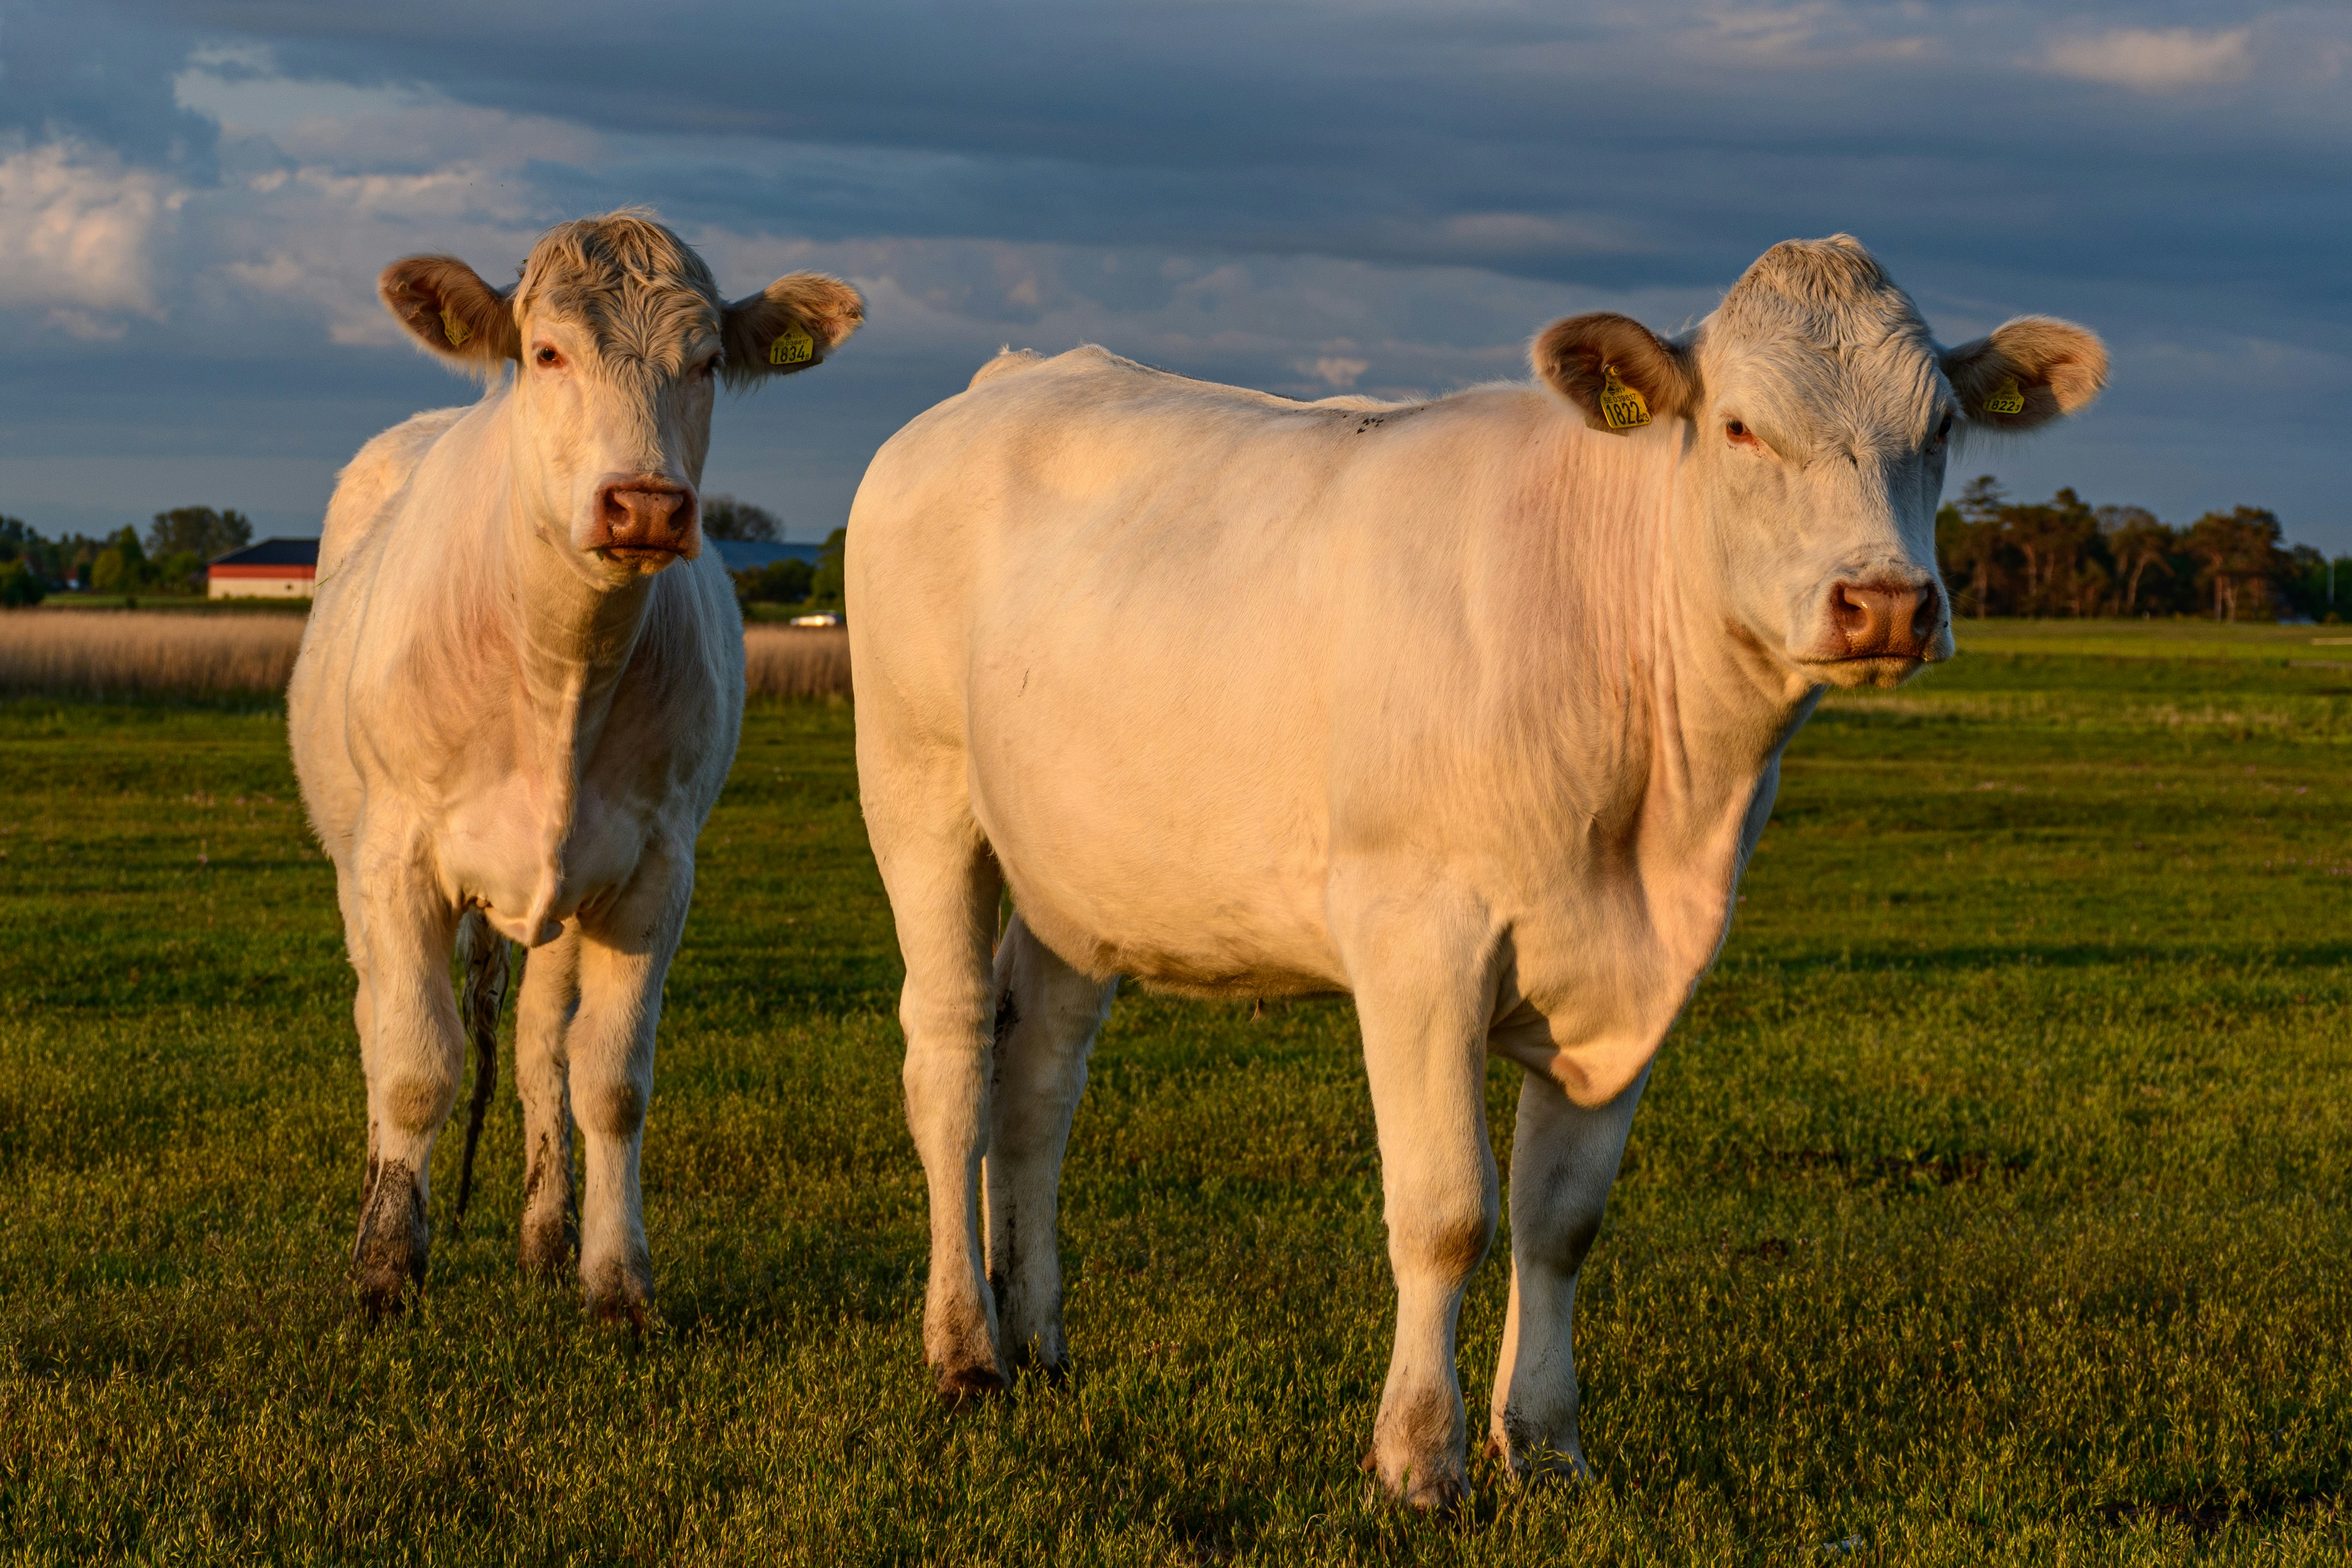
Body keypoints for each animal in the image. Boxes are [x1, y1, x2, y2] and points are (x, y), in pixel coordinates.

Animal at [856, 236, 2107, 1504]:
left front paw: (1545, 1445)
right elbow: (1447, 1210)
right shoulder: (1417, 939)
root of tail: (1012, 376)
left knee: (1038, 1078)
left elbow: (1560, 1217)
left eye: (1939, 425)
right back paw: (964, 1350)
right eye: (1740, 427)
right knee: (951, 1055)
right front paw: (1419, 1456)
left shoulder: (1640, 973)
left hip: (1075, 872)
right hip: (918, 785)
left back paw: (1037, 1338)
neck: (1654, 814)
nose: (1887, 603)